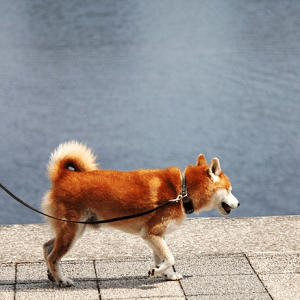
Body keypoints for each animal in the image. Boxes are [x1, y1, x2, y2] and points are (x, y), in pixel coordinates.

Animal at [41, 141, 239, 286]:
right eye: (229, 189)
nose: (238, 203)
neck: (182, 191)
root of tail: (63, 176)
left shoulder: (157, 235)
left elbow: (162, 257)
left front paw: (166, 275)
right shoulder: (151, 233)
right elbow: (170, 257)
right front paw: (156, 271)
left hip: (74, 229)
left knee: (47, 247)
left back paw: (52, 276)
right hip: (72, 231)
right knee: (53, 257)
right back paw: (61, 280)